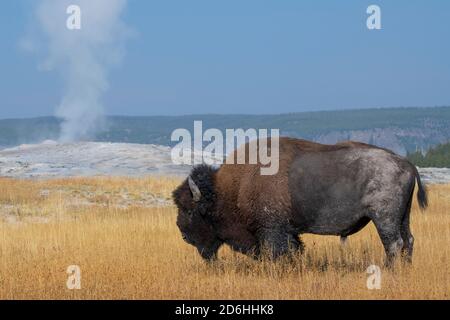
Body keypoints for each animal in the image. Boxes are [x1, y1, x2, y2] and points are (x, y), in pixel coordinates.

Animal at [171, 136, 426, 266]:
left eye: (190, 210)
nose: (182, 234)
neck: (232, 188)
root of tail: (406, 164)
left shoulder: (272, 230)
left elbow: (277, 251)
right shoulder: (288, 231)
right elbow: (295, 249)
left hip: (384, 218)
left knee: (393, 244)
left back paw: (389, 271)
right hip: (403, 216)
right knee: (409, 240)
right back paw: (405, 270)